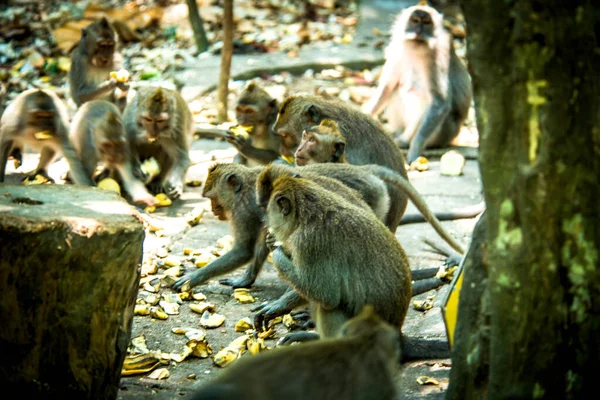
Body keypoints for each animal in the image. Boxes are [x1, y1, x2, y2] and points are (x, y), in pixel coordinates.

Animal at [360, 2, 474, 164]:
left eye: (426, 23)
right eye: (415, 21)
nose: (418, 31)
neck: (416, 50)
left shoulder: (439, 56)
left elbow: (440, 102)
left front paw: (415, 147)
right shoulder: (396, 51)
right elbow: (387, 88)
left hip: (447, 132)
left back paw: (406, 141)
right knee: (396, 90)